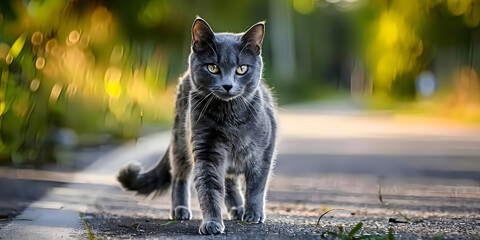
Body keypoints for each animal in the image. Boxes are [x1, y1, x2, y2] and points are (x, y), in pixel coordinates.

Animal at [117, 17, 278, 234]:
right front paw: (212, 222)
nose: (228, 85)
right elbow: (209, 187)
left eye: (242, 69)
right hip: (181, 141)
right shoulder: (206, 149)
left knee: (230, 182)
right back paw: (180, 209)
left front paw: (253, 214)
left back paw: (238, 209)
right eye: (213, 67)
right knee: (180, 177)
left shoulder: (264, 152)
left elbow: (256, 185)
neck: (231, 118)